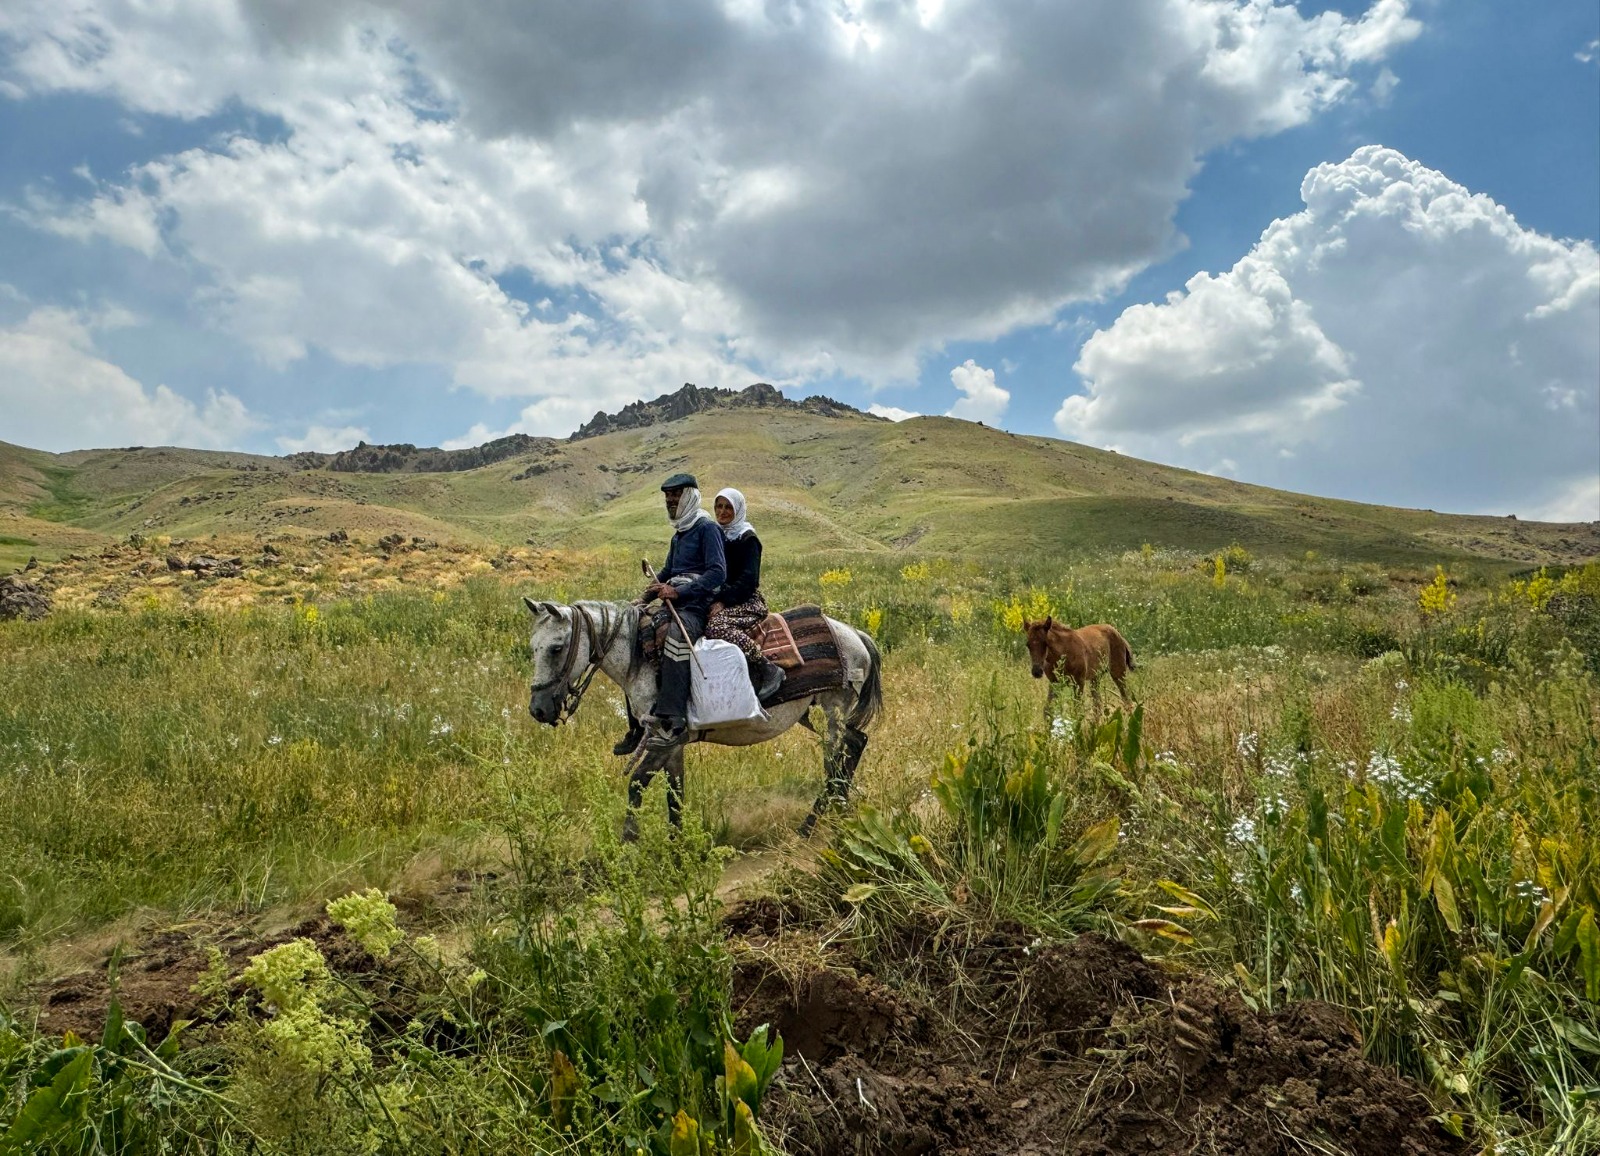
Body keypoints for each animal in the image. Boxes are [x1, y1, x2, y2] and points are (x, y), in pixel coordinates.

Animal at [521, 598, 883, 832]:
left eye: (556, 648)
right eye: (533, 647)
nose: (538, 709)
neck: (641, 657)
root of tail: (856, 634)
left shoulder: (665, 737)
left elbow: (637, 784)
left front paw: (629, 845)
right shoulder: (671, 743)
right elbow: (675, 795)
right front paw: (679, 850)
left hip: (834, 708)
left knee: (838, 759)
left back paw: (811, 824)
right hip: (823, 714)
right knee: (854, 745)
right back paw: (838, 807)